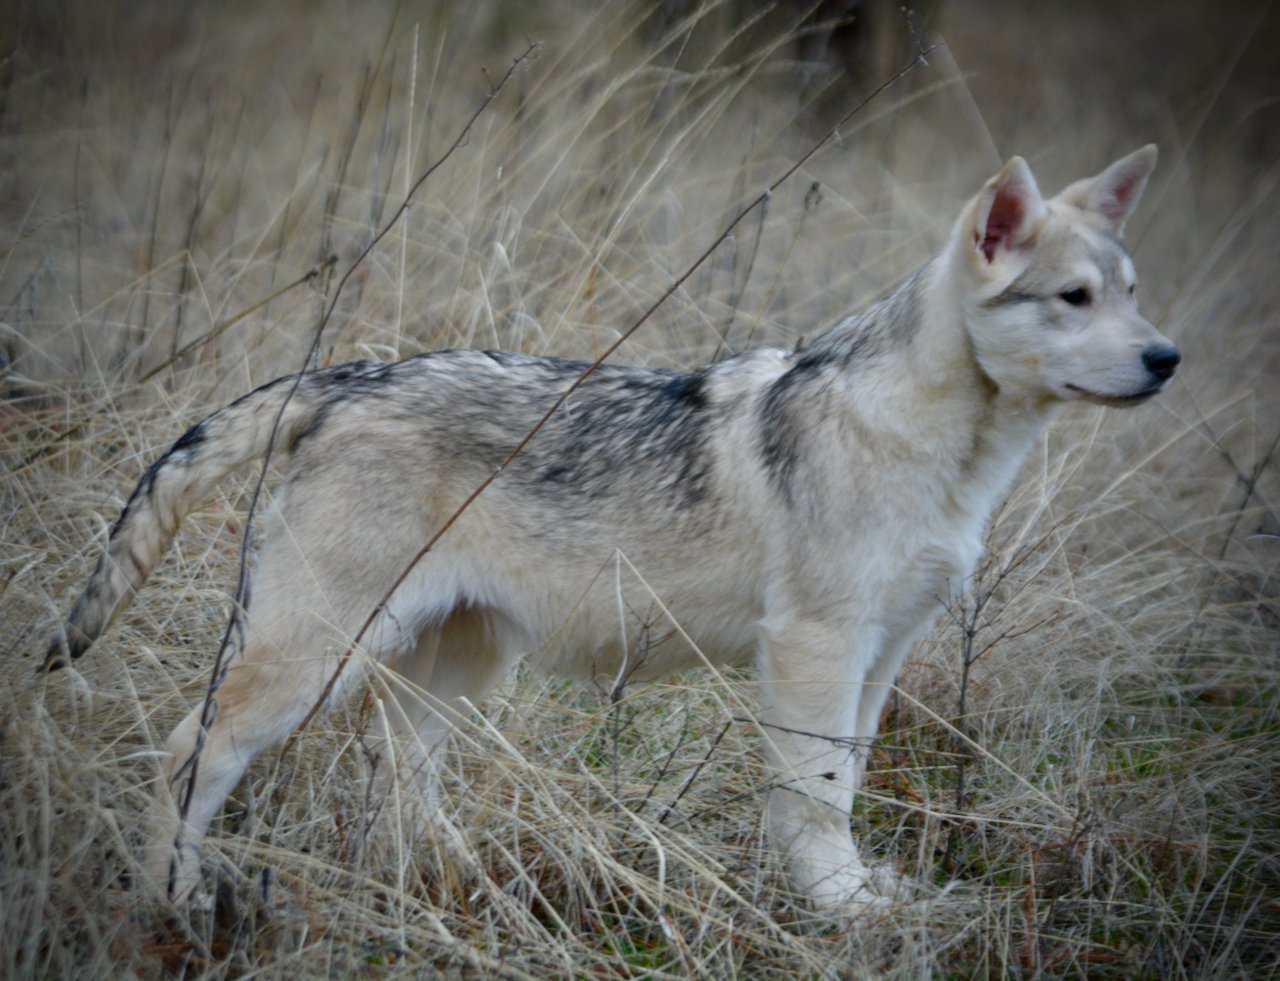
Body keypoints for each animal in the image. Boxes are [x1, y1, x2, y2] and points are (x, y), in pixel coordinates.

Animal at [45, 145, 1177, 911]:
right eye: (1072, 297)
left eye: (1130, 293)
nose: (1167, 358)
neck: (942, 451)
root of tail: (349, 376)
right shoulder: (814, 648)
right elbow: (813, 801)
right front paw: (843, 912)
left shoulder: (881, 654)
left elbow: (845, 785)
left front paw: (859, 898)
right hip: (314, 657)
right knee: (190, 752)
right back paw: (175, 900)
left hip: (451, 668)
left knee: (395, 783)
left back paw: (461, 878)